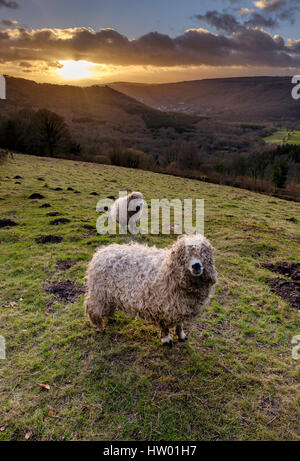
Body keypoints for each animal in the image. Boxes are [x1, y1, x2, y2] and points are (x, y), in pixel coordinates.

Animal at [83, 234, 217, 344]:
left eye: (204, 252)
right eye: (185, 254)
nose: (196, 266)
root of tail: (100, 252)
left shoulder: (180, 306)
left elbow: (179, 323)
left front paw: (181, 336)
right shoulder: (162, 306)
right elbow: (164, 325)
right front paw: (166, 339)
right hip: (99, 293)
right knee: (91, 307)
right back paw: (99, 326)